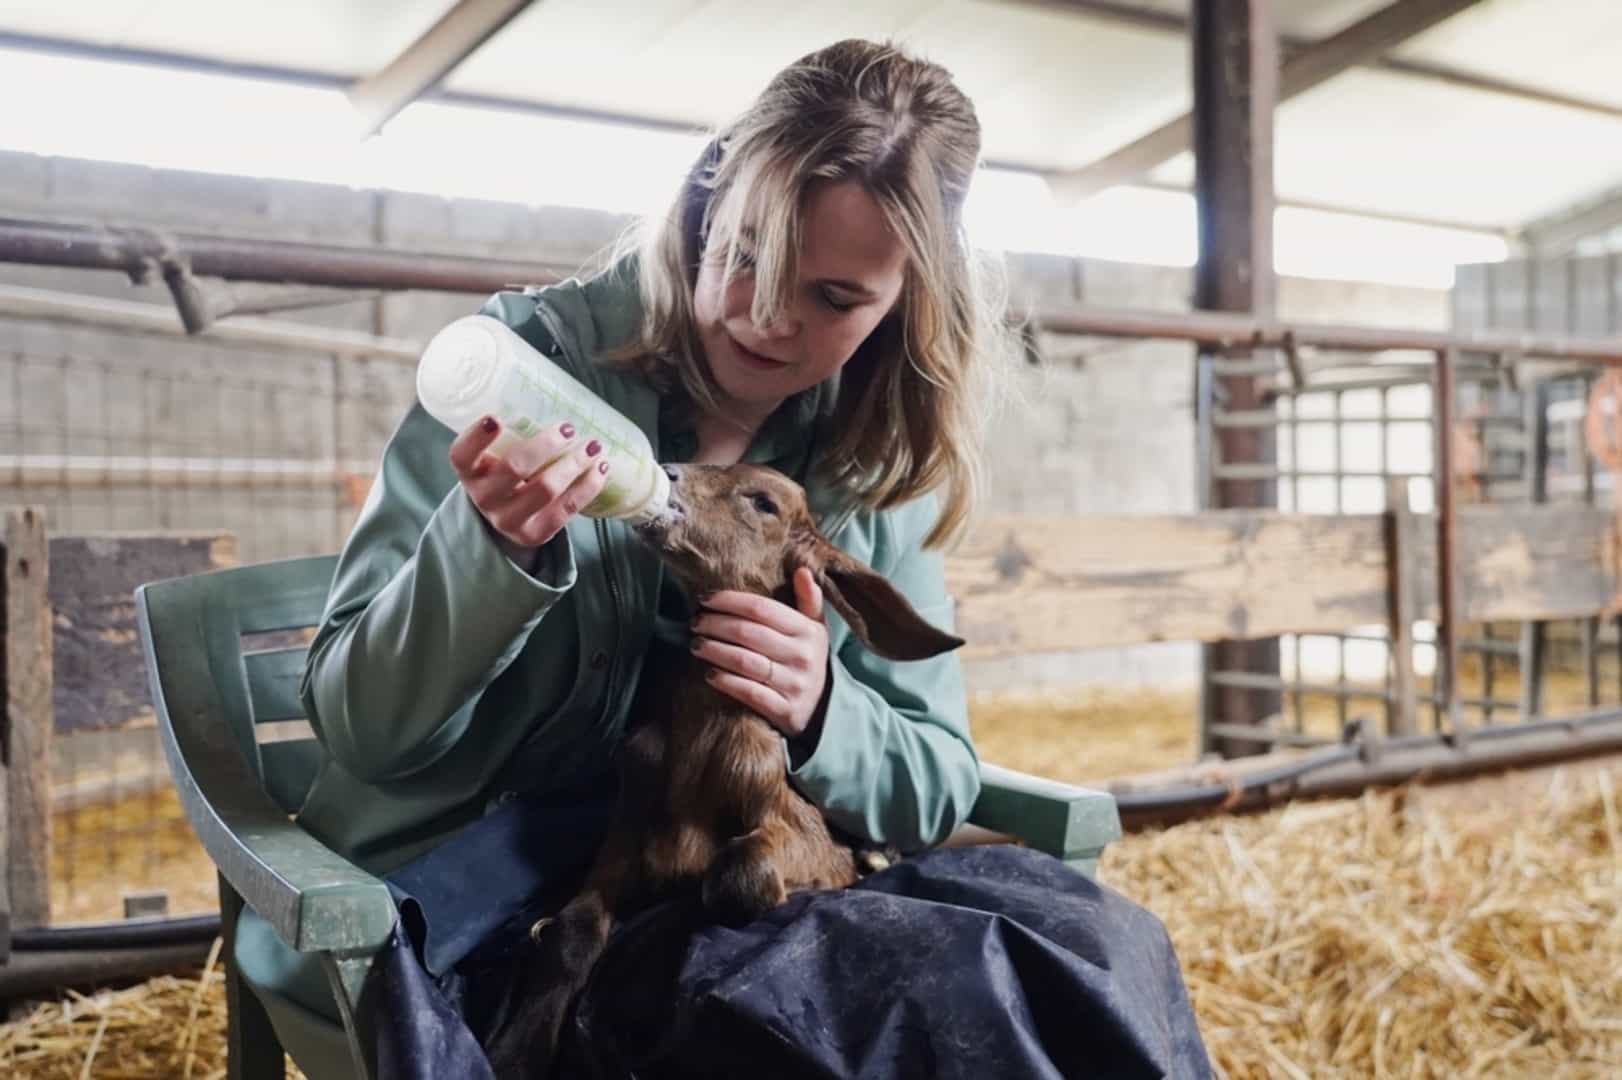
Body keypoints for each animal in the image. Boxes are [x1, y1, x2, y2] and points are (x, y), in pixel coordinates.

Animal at [483, 457, 960, 1070]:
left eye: (764, 502)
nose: (666, 471)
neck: (700, 754)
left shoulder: (795, 827)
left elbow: (735, 877)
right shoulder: (626, 823)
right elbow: (572, 928)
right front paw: (517, 1048)